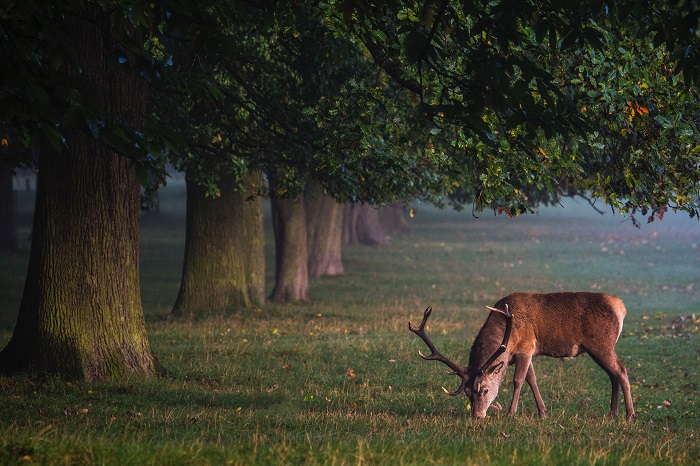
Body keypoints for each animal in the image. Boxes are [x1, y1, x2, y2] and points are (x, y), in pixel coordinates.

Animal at [408, 292, 635, 420]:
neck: (508, 336)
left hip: (602, 343)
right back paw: (613, 413)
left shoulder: (526, 347)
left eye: (484, 390)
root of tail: (620, 307)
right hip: (597, 348)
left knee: (621, 370)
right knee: (612, 375)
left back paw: (630, 414)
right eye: (467, 393)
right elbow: (531, 379)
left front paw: (511, 413)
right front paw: (543, 412)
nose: (477, 416)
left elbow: (518, 380)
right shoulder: (524, 354)